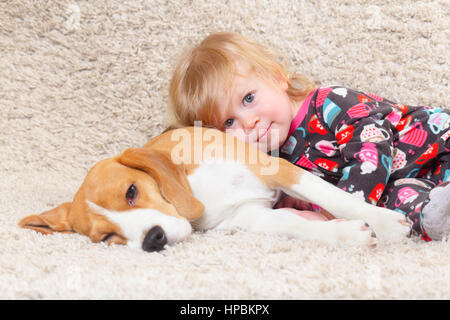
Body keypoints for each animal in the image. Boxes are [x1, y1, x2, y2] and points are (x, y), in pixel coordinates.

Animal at [18, 126, 412, 251]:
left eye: (131, 191)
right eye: (106, 238)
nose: (152, 240)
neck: (193, 189)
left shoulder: (277, 170)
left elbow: (335, 197)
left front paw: (385, 223)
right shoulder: (247, 217)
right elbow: (293, 225)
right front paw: (344, 235)